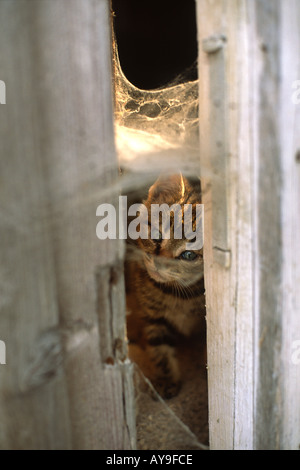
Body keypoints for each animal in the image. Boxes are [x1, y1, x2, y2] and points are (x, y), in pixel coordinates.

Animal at [125, 174, 205, 398]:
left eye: (189, 255)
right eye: (157, 236)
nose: (159, 264)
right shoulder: (154, 316)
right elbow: (159, 348)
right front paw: (167, 379)